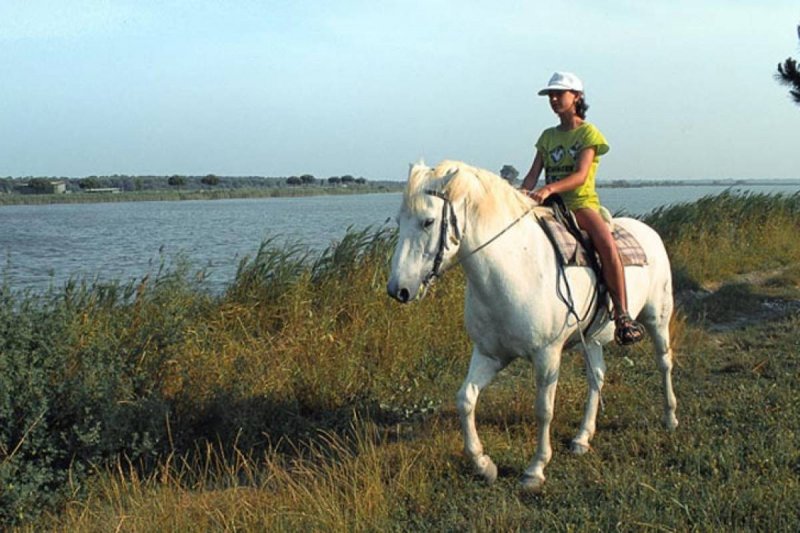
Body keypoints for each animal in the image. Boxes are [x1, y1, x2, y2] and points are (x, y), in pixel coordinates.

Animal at [384, 160, 680, 492]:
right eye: (400, 220)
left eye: (428, 221)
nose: (398, 289)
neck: (514, 269)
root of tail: (649, 232)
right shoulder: (489, 355)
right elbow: (465, 400)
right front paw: (483, 465)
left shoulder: (547, 356)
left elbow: (543, 410)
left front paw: (535, 470)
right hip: (591, 340)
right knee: (598, 377)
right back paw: (582, 437)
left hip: (657, 319)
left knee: (664, 363)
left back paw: (670, 418)